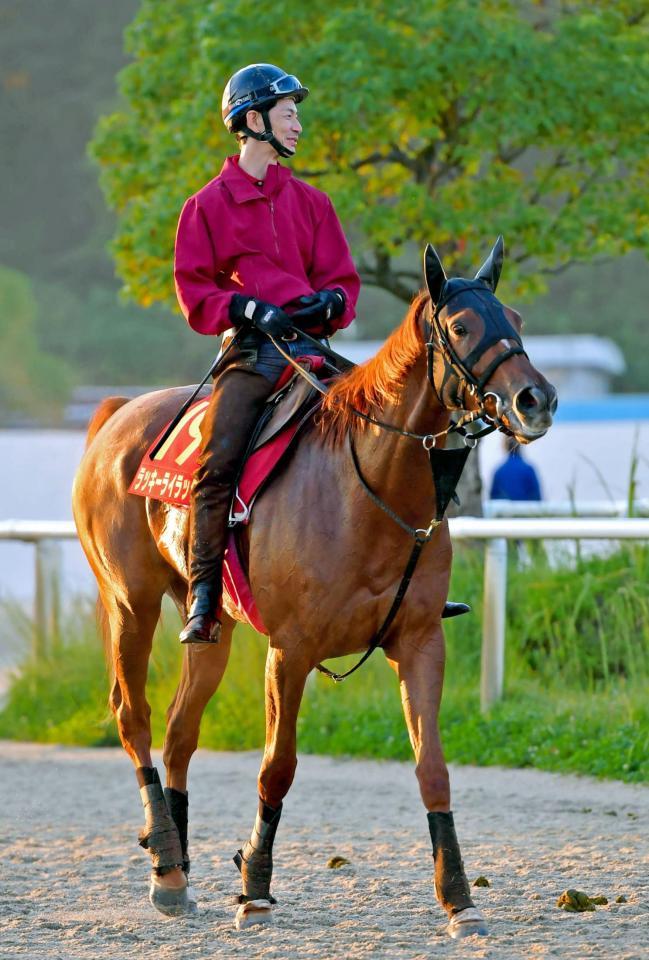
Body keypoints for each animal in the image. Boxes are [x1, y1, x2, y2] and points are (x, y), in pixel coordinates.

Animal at [72, 238, 556, 936]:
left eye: (514, 319)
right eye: (463, 326)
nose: (535, 400)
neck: (368, 487)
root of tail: (113, 415)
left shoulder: (420, 642)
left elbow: (433, 769)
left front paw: (458, 898)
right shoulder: (289, 652)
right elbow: (277, 768)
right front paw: (255, 887)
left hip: (209, 627)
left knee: (179, 730)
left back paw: (179, 869)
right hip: (129, 605)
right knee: (132, 715)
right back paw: (164, 861)